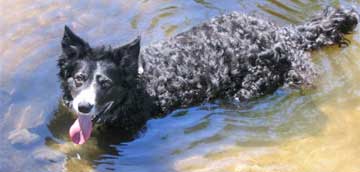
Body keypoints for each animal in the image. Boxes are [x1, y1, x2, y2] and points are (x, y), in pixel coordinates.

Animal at [57, 6, 358, 144]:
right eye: (78, 79)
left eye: (106, 84)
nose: (84, 106)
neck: (142, 84)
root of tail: (284, 33)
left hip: (251, 86)